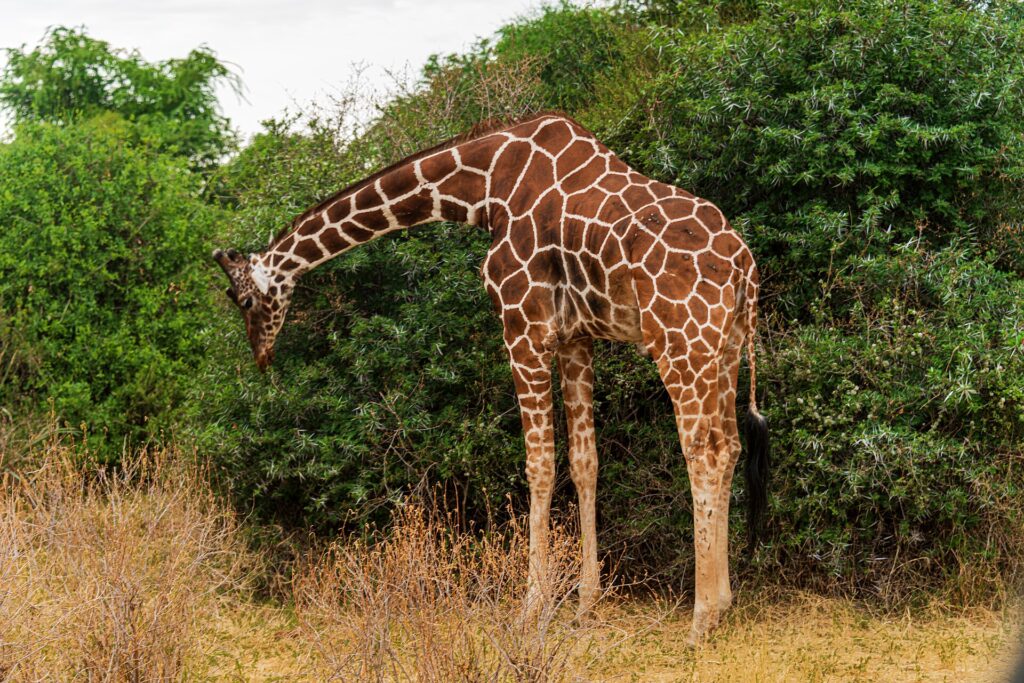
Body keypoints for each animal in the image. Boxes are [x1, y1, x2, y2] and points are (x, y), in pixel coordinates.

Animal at [213, 111, 769, 641]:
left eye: (244, 301)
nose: (261, 356)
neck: (483, 188)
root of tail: (745, 266)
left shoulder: (521, 324)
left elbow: (538, 465)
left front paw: (530, 608)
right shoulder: (575, 336)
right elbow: (584, 461)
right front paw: (586, 603)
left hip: (680, 341)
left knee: (704, 451)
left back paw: (701, 617)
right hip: (725, 347)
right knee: (731, 445)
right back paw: (724, 602)